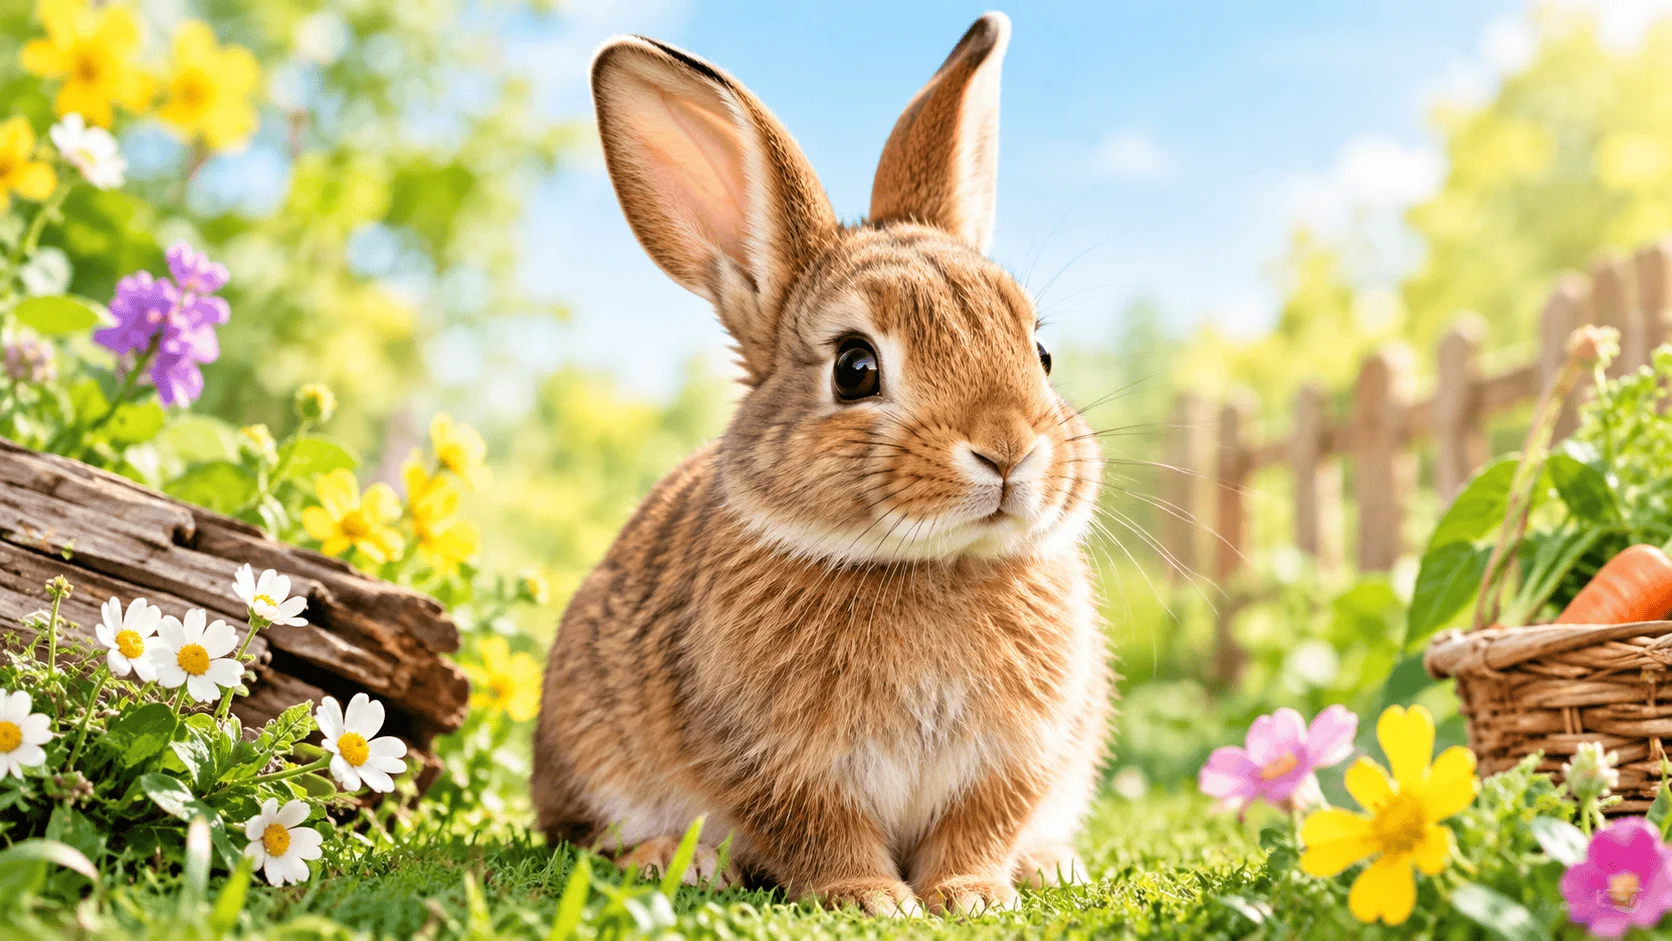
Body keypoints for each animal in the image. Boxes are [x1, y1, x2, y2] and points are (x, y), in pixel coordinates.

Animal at [533, 11, 1110, 916]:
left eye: (1041, 353)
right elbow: (820, 829)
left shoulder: (1014, 757)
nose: (1010, 450)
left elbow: (979, 825)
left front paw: (974, 895)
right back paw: (675, 860)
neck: (932, 565)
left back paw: (1050, 864)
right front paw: (871, 897)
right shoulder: (776, 761)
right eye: (855, 367)